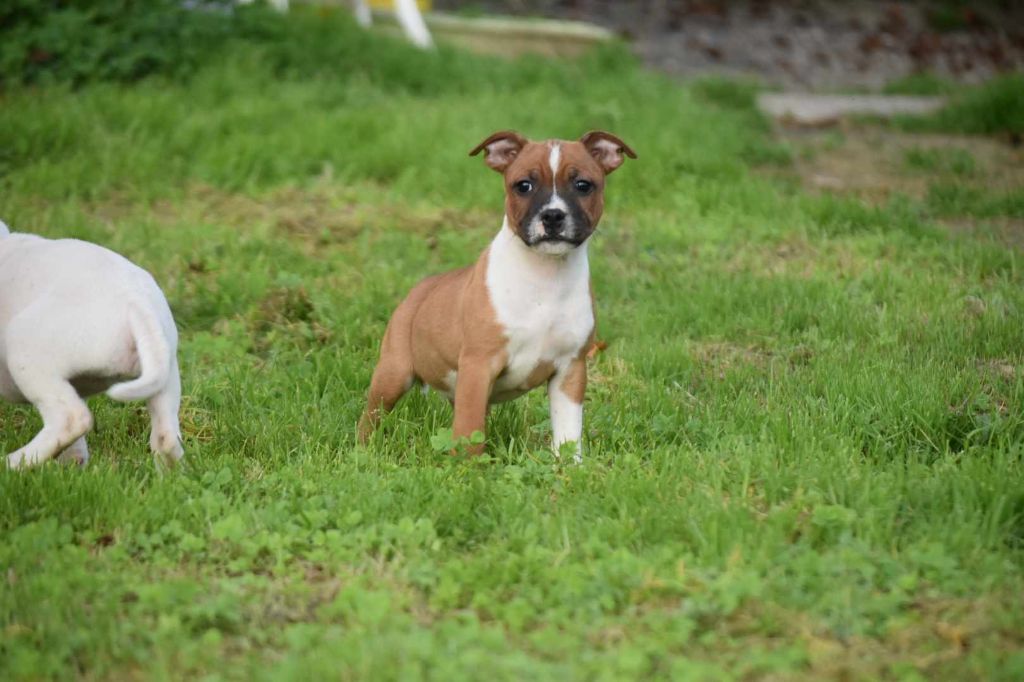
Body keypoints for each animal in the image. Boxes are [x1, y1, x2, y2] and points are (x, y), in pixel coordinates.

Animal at [1, 220, 184, 471]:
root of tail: (135, 303)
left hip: (25, 351)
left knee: (71, 419)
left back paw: (13, 463)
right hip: (166, 373)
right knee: (166, 438)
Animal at [358, 130, 630, 458]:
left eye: (583, 185)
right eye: (523, 185)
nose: (552, 215)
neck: (546, 277)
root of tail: (420, 289)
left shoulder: (570, 370)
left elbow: (567, 432)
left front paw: (568, 466)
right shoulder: (479, 364)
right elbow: (469, 431)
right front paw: (467, 468)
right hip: (394, 372)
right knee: (372, 415)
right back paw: (361, 449)